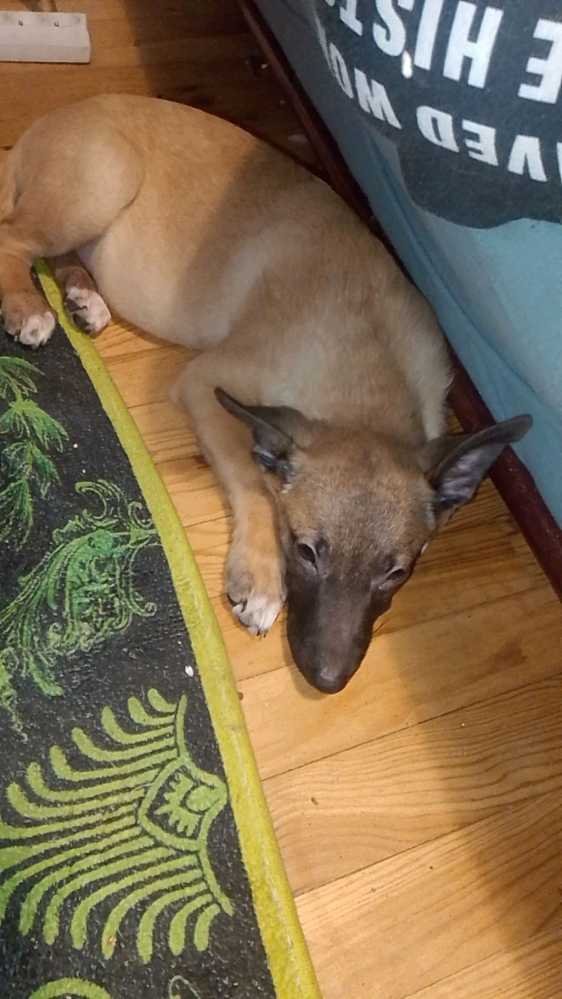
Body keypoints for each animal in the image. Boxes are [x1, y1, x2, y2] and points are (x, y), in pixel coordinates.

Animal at [0, 94, 531, 693]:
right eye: (305, 551)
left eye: (396, 573)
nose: (327, 681)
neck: (370, 373)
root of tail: (43, 125)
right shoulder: (206, 382)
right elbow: (254, 482)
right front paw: (259, 575)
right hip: (104, 181)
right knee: (11, 237)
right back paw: (27, 305)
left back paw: (82, 295)